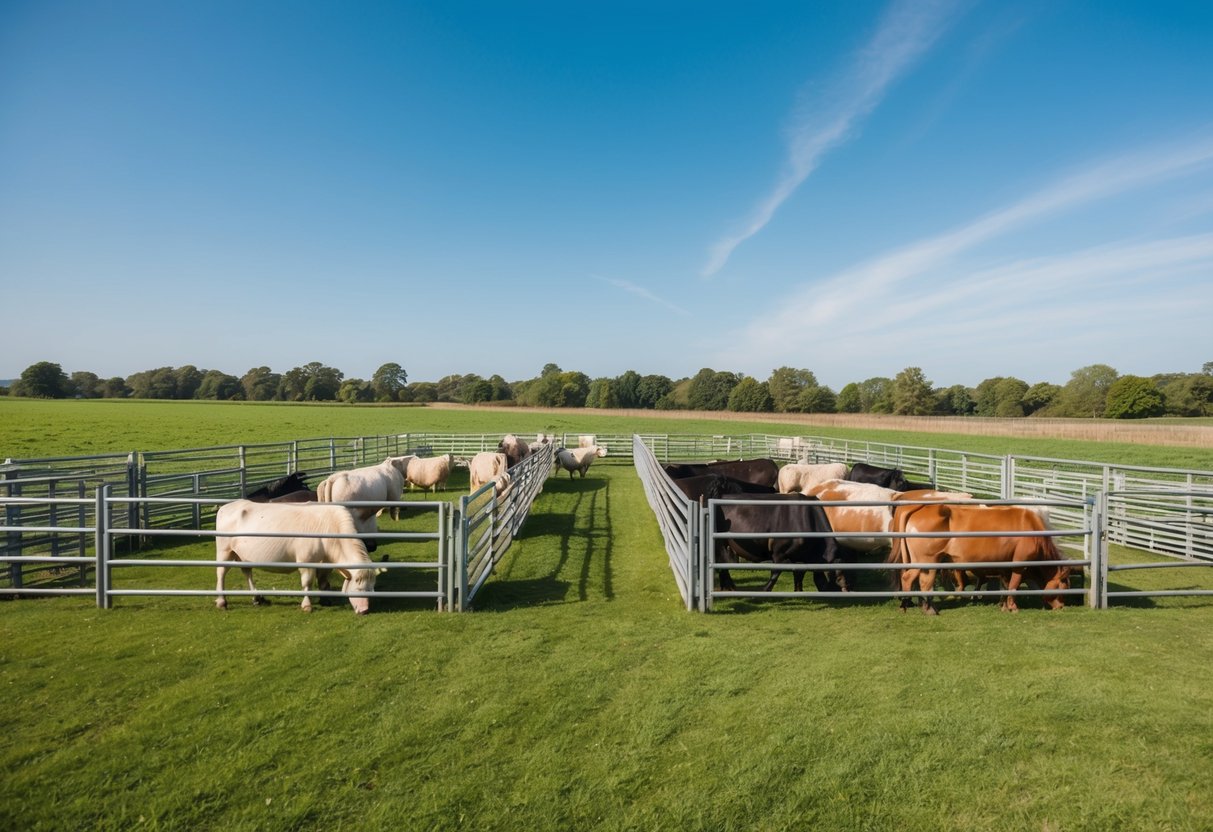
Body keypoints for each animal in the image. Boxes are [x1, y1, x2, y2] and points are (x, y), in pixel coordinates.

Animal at [883, 504, 1072, 616]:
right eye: (1063, 587)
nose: (1061, 607)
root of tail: (920, 507)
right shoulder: (1020, 563)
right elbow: (1013, 586)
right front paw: (1013, 607)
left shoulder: (1004, 566)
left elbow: (1005, 586)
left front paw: (1003, 606)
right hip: (926, 560)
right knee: (915, 580)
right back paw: (918, 607)